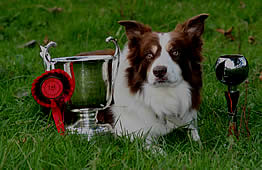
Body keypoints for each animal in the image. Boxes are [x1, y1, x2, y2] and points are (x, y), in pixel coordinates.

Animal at [105, 13, 209, 143]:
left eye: (175, 52)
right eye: (149, 55)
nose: (159, 71)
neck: (164, 94)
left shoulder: (189, 122)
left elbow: (197, 139)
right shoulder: (130, 131)